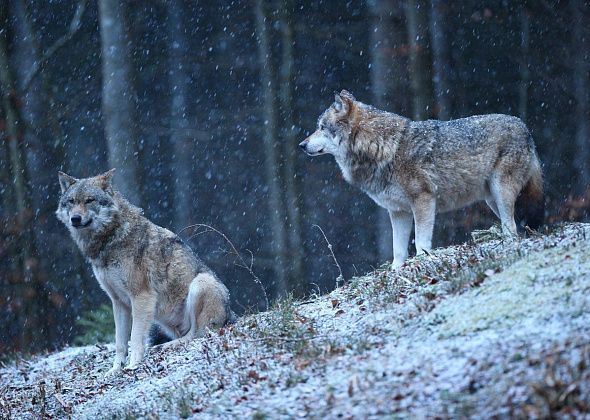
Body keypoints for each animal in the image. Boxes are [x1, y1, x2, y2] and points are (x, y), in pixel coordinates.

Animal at [56, 169, 234, 376]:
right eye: (71, 201)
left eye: (89, 200)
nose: (75, 218)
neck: (111, 238)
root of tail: (231, 315)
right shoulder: (118, 302)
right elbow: (120, 342)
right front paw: (115, 369)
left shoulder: (141, 297)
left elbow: (135, 337)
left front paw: (133, 366)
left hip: (200, 283)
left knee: (197, 334)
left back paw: (166, 346)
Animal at [300, 91, 544, 268]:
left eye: (321, 127)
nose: (301, 145)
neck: (383, 148)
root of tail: (525, 127)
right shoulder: (398, 212)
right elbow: (398, 250)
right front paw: (396, 271)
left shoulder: (423, 200)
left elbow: (421, 240)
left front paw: (423, 260)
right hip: (491, 199)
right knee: (514, 227)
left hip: (501, 193)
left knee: (511, 228)